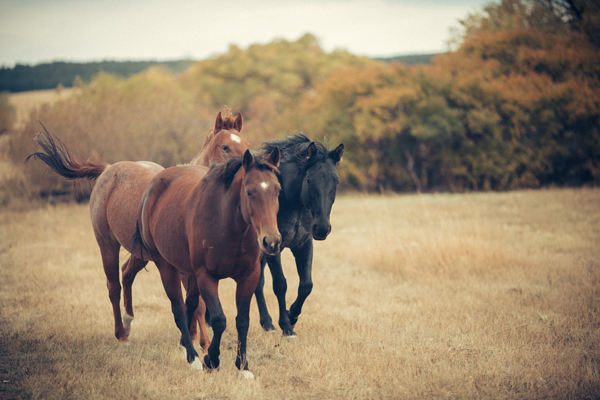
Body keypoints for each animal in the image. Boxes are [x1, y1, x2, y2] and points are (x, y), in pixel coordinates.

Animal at [26, 108, 248, 354]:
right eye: (225, 147)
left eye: (246, 144)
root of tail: (108, 170)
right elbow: (198, 305)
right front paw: (203, 345)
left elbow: (193, 303)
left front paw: (190, 340)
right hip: (107, 245)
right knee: (113, 286)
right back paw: (121, 335)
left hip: (142, 254)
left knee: (126, 273)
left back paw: (128, 321)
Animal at [131, 148, 282, 378]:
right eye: (249, 192)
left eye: (278, 190)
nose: (271, 241)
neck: (227, 223)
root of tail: (154, 183)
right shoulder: (207, 277)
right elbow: (219, 320)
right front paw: (211, 360)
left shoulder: (249, 277)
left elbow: (242, 321)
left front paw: (243, 367)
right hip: (166, 266)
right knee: (178, 310)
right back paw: (193, 358)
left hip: (190, 274)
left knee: (190, 306)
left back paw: (185, 347)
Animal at [253, 134, 344, 338]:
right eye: (309, 180)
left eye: (336, 181)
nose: (322, 228)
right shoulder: (273, 249)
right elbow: (280, 285)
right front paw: (286, 327)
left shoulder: (303, 245)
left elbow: (306, 285)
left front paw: (292, 316)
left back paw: (267, 323)